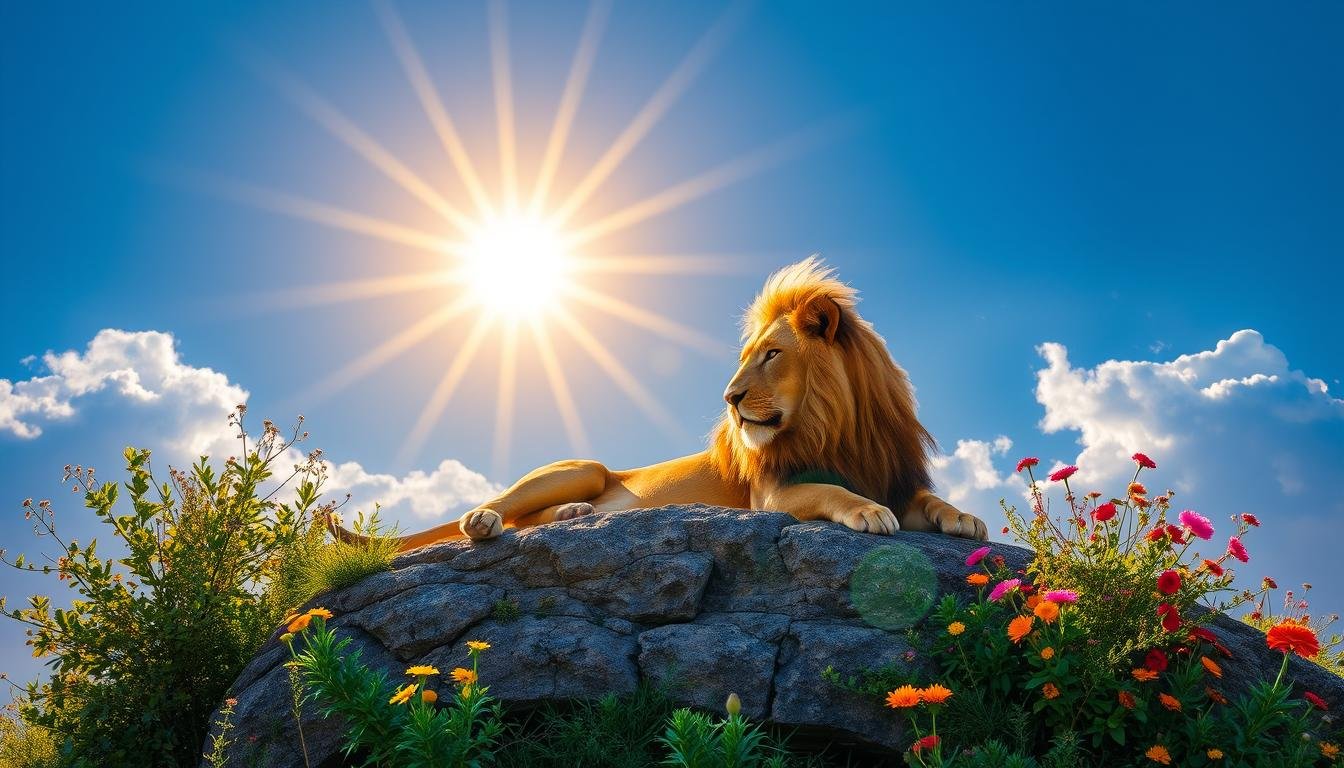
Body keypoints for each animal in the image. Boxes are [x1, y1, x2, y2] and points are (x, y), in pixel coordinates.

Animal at [355, 257, 987, 551]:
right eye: (747, 356)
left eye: (773, 354)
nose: (729, 399)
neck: (838, 426)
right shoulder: (770, 497)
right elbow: (832, 491)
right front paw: (867, 511)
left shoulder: (892, 474)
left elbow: (928, 500)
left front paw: (964, 517)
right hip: (581, 466)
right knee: (501, 509)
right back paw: (486, 520)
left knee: (527, 518)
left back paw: (572, 516)